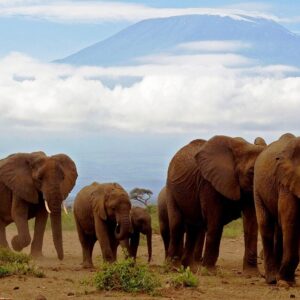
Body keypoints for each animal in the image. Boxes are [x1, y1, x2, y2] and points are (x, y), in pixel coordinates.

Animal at [165, 136, 266, 272]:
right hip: (171, 188)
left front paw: (251, 274)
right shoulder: (208, 183)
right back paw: (173, 267)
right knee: (177, 225)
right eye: (251, 172)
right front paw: (209, 271)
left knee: (193, 227)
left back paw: (191, 268)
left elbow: (251, 222)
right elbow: (215, 220)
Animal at [254, 134, 300, 286]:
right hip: (258, 187)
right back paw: (272, 279)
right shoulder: (287, 182)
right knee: (266, 225)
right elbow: (291, 221)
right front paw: (286, 281)